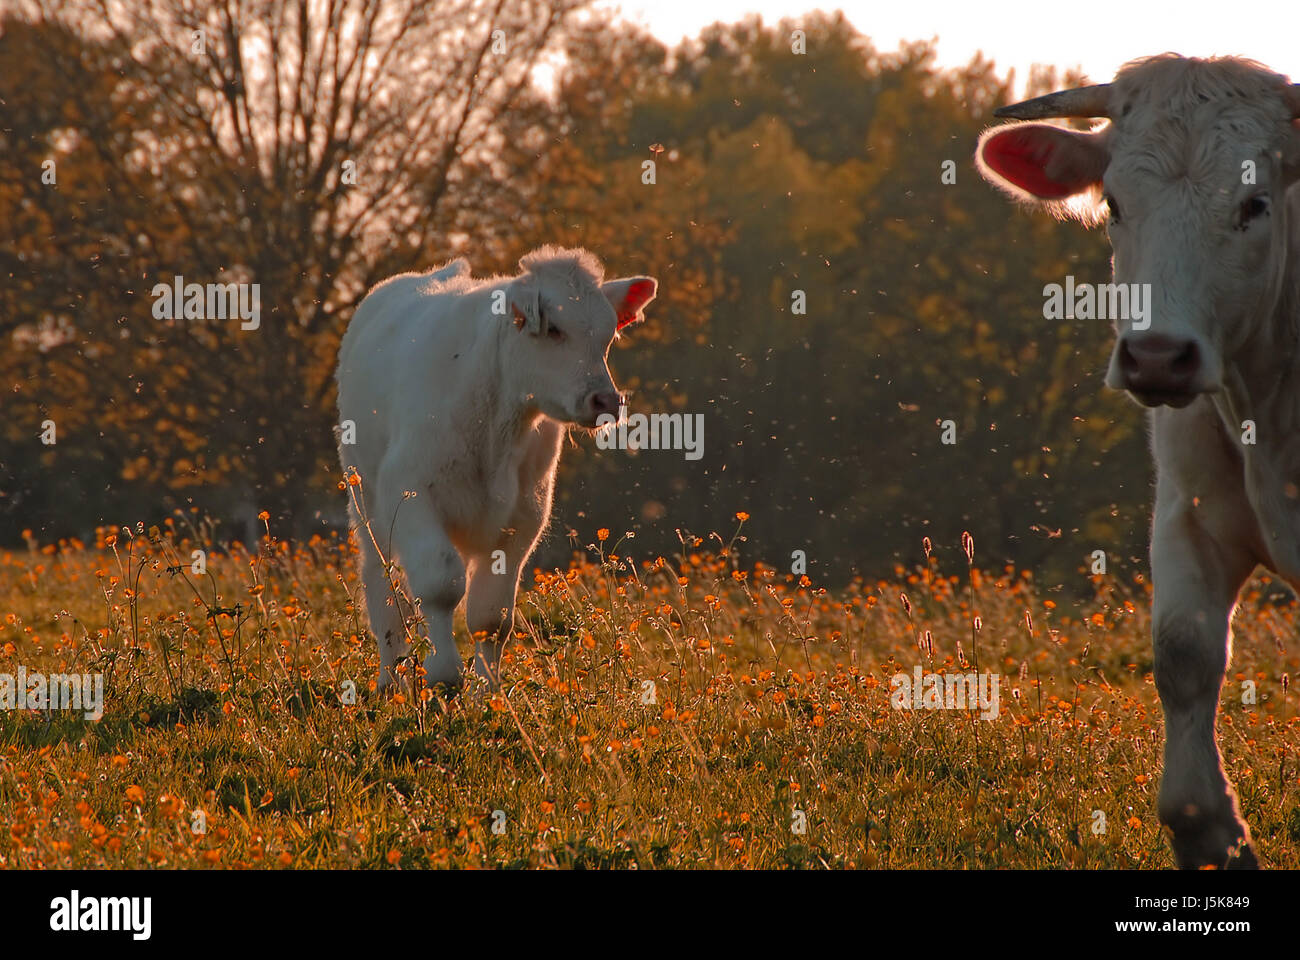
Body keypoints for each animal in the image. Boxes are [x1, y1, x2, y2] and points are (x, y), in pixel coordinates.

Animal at [335, 247, 657, 696]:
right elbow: (439, 584)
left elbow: (491, 615)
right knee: (383, 583)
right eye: (553, 329)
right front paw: (443, 674)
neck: (495, 429)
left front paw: (486, 691)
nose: (606, 400)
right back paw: (391, 679)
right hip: (366, 500)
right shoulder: (410, 493)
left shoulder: (523, 518)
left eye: (608, 335)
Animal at [976, 54, 1300, 869]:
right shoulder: (1189, 511)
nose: (1157, 355)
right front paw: (1217, 835)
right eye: (1115, 203)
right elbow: (1183, 652)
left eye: (1254, 204)